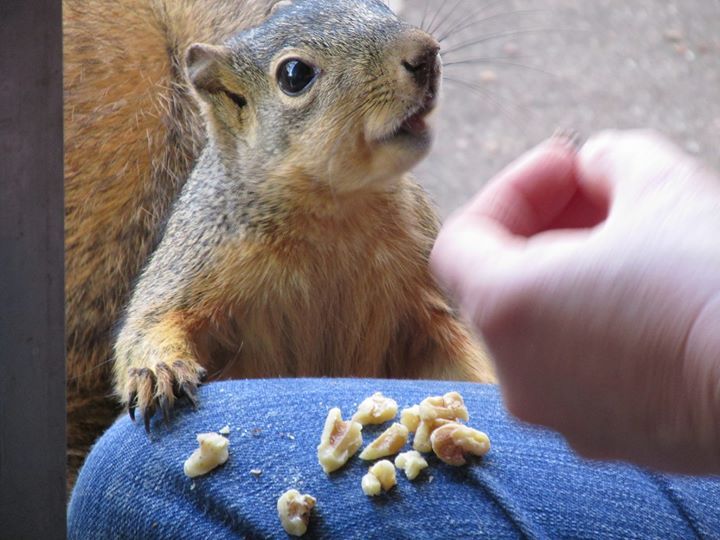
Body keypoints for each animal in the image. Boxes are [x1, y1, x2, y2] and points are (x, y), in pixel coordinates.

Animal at [63, 0, 496, 490]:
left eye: (383, 8)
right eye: (294, 74)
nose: (425, 53)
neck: (335, 209)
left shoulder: (423, 292)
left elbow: (453, 345)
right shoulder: (197, 257)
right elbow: (152, 318)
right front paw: (158, 371)